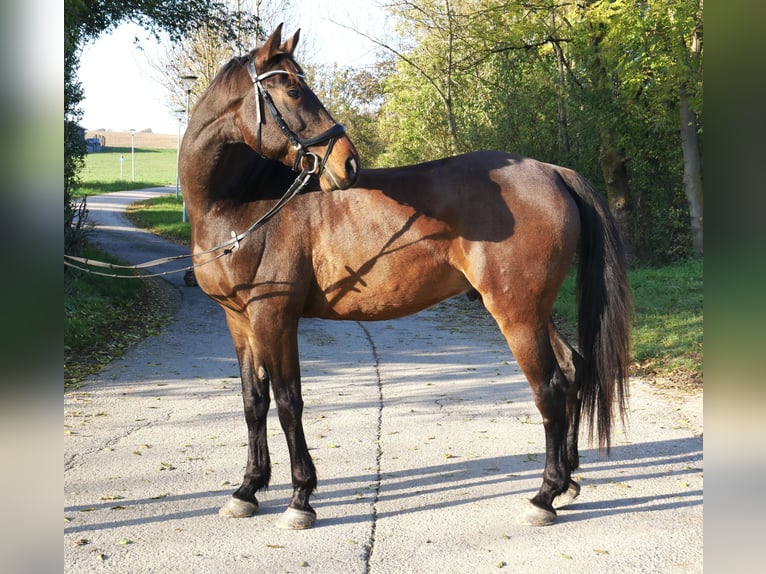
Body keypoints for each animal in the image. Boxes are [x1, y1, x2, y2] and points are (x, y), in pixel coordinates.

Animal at [178, 25, 632, 532]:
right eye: (293, 90)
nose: (348, 163)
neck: (240, 207)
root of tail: (553, 171)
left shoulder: (275, 318)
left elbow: (288, 403)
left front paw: (300, 498)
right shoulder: (239, 321)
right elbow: (253, 403)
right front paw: (247, 490)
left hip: (516, 313)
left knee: (550, 388)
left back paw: (545, 496)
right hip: (534, 310)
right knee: (572, 371)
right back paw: (568, 483)